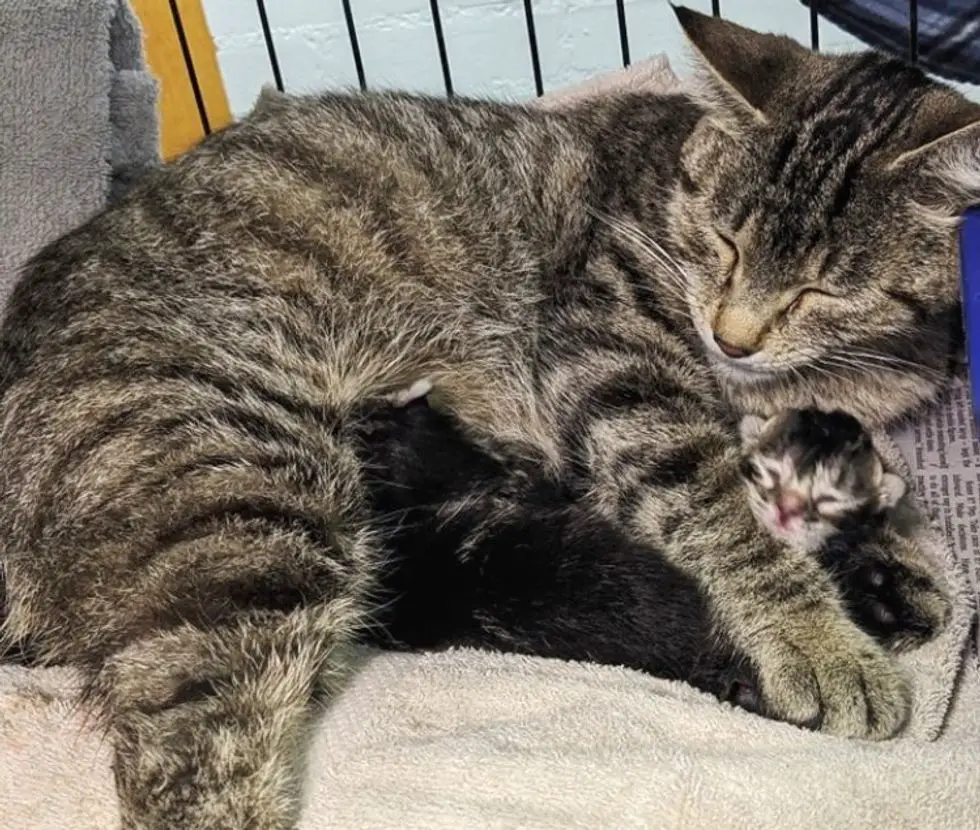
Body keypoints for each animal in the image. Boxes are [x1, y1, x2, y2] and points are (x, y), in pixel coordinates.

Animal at [0, 8, 968, 830]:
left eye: (822, 289)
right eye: (724, 244)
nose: (730, 336)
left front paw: (884, 570)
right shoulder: (610, 358)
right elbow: (716, 502)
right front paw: (822, 639)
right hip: (240, 499)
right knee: (187, 760)